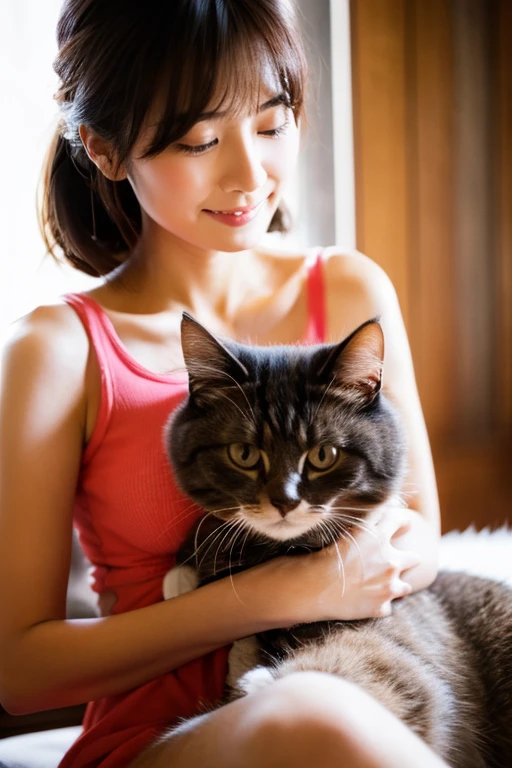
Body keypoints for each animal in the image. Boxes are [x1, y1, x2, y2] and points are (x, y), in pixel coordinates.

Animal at [163, 312, 512, 768]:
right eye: (243, 453)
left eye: (323, 455)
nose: (284, 501)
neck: (278, 551)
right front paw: (184, 570)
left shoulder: (393, 653)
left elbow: (360, 669)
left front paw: (261, 684)